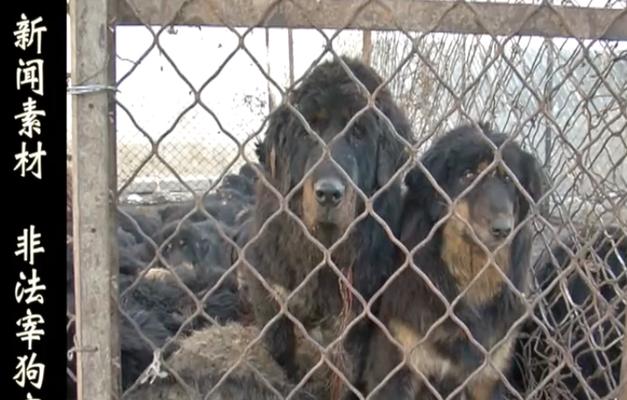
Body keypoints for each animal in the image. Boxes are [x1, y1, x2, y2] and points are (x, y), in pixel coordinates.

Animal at [242, 55, 418, 396]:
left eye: (359, 133)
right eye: (307, 131)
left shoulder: (355, 317)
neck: (322, 253)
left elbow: (343, 374)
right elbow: (279, 349)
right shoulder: (269, 287)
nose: (328, 193)